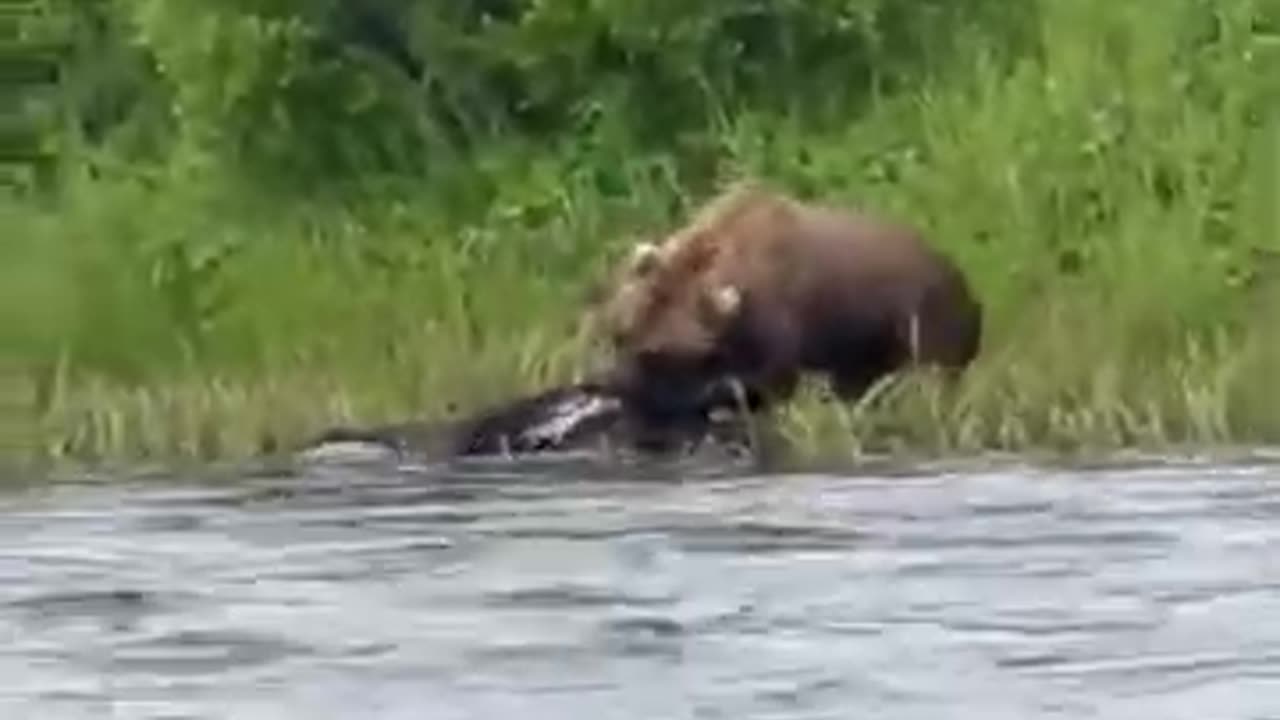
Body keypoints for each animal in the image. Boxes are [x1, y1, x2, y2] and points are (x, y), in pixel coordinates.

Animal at [586, 181, 983, 420]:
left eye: (657, 355)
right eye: (620, 332)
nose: (611, 384)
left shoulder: (781, 334)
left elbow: (771, 383)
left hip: (924, 326)